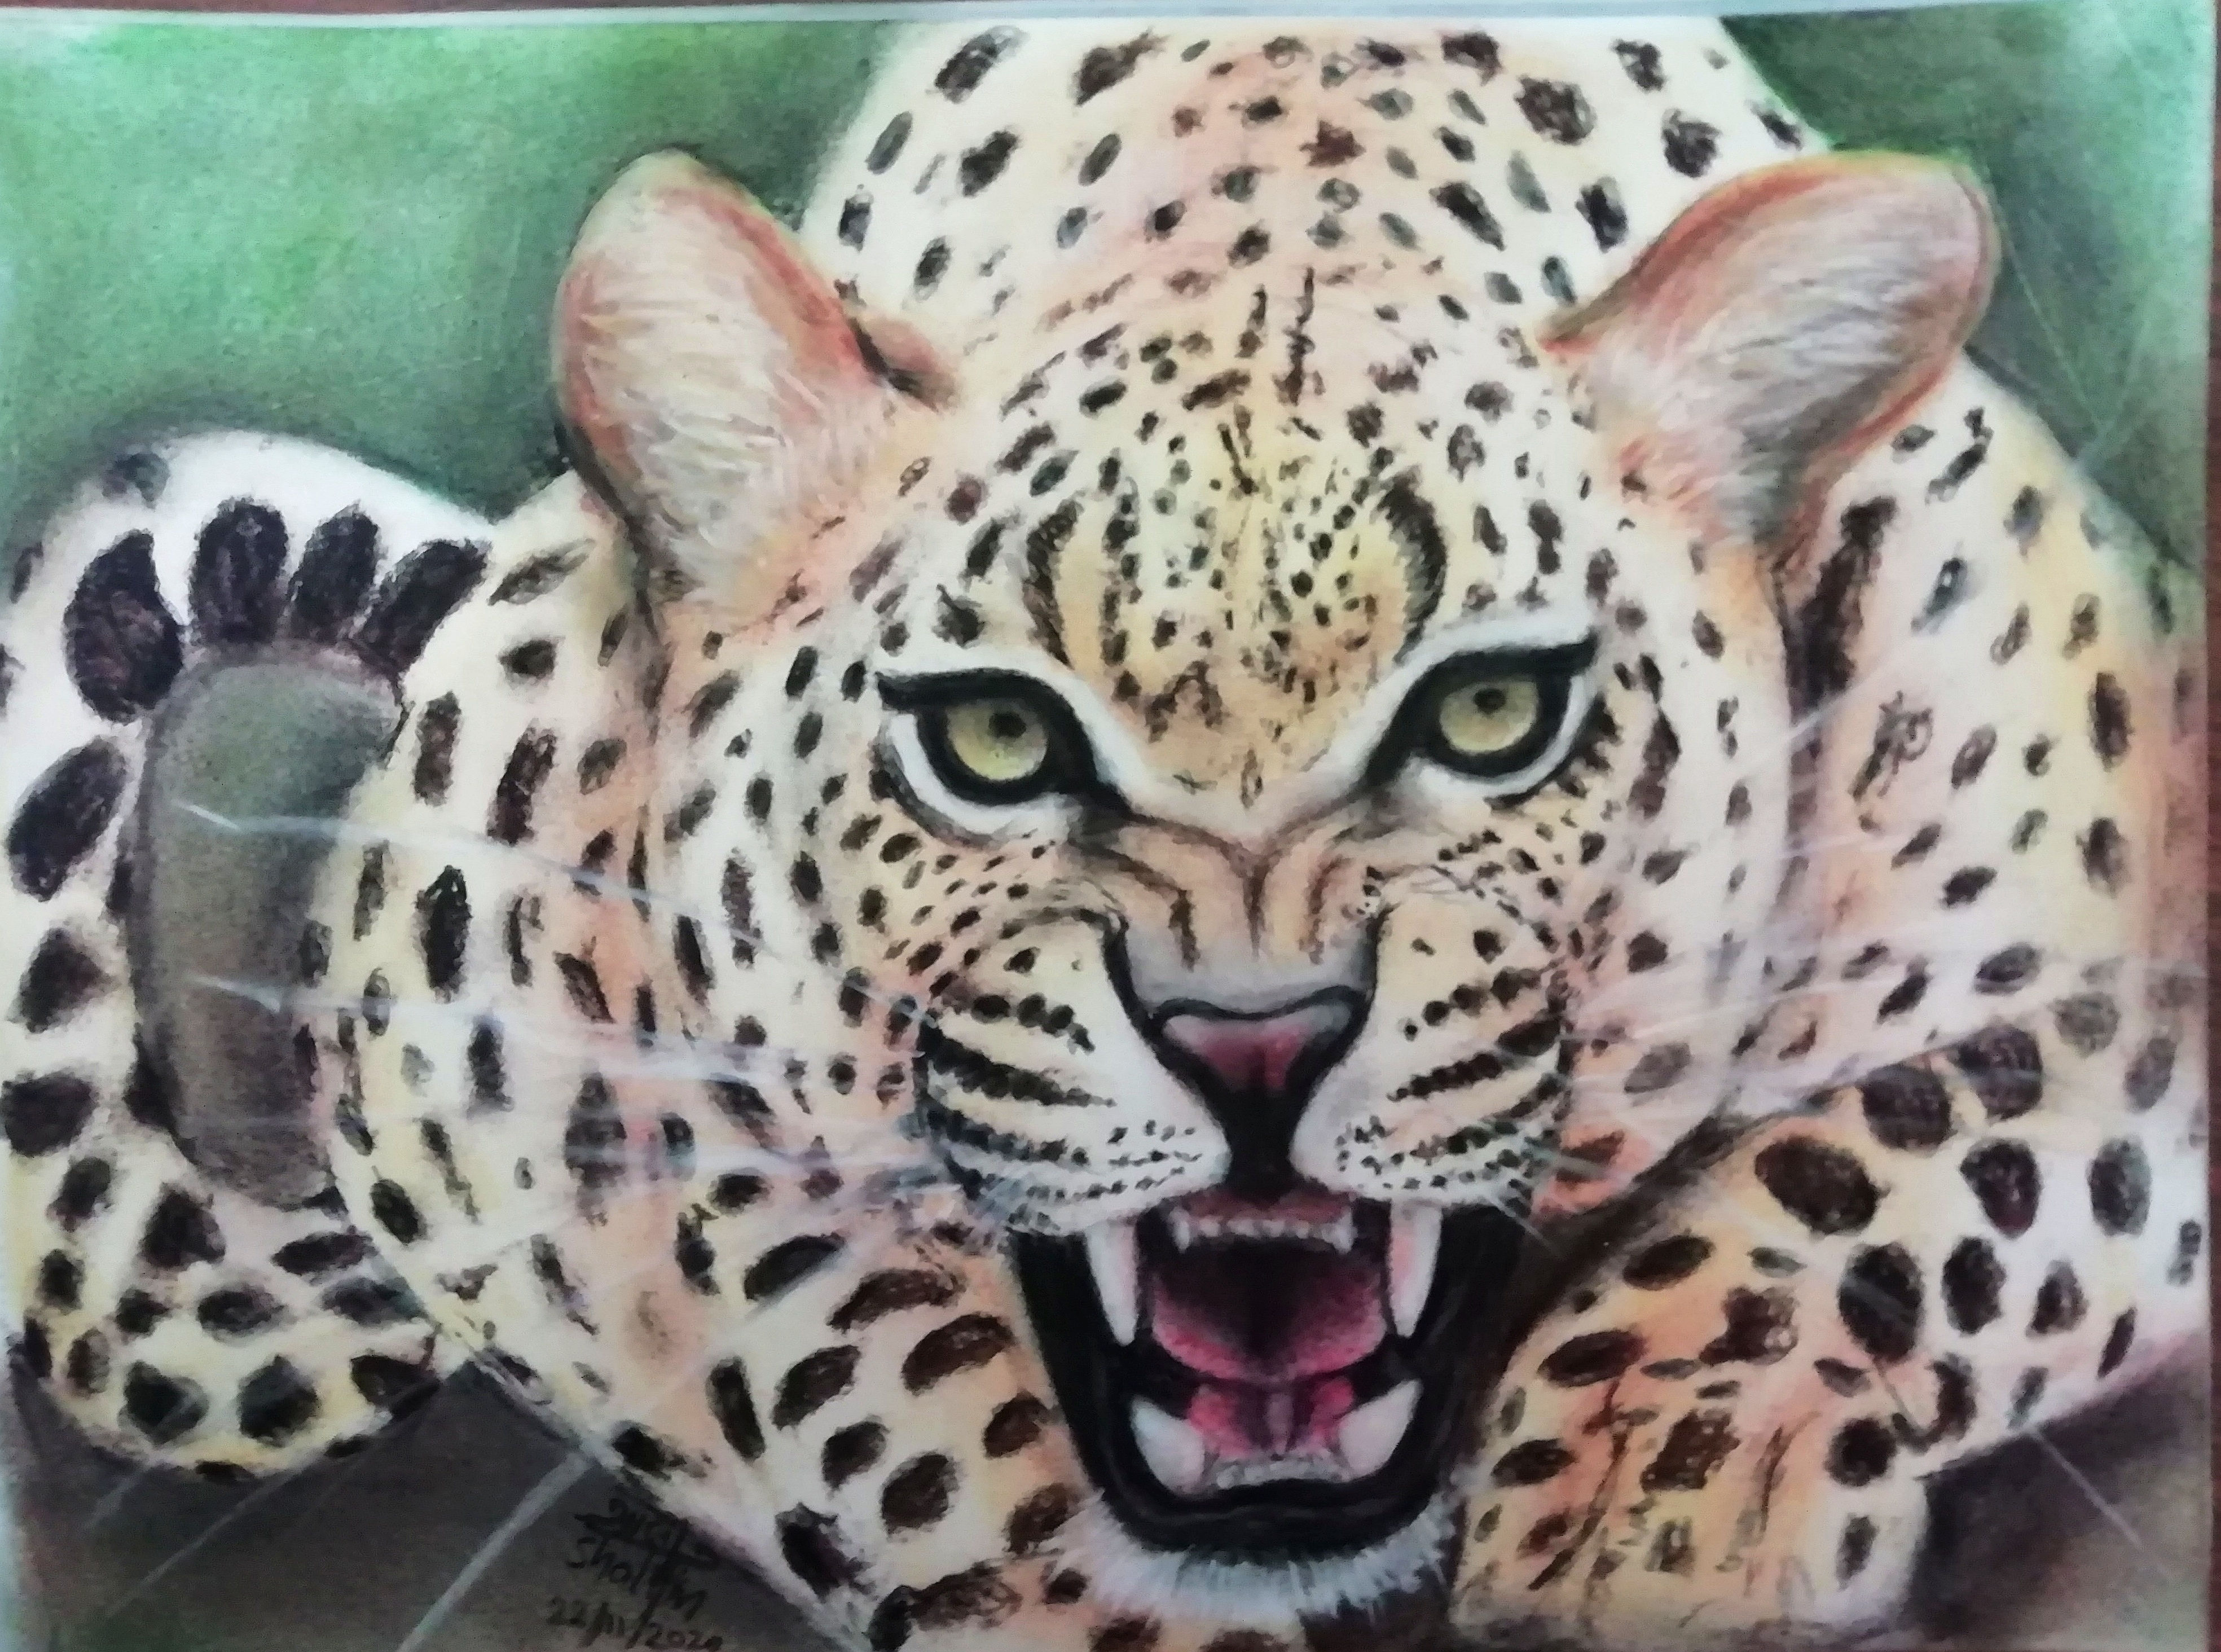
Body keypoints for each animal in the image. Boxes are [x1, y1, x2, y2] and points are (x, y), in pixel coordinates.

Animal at [1, 19, 2204, 1652]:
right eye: (990, 737)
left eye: (1490, 715)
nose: (1257, 1041)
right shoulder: (553, 1026)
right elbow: (851, 1353)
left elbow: (1936, 1135)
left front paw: (1657, 1462)